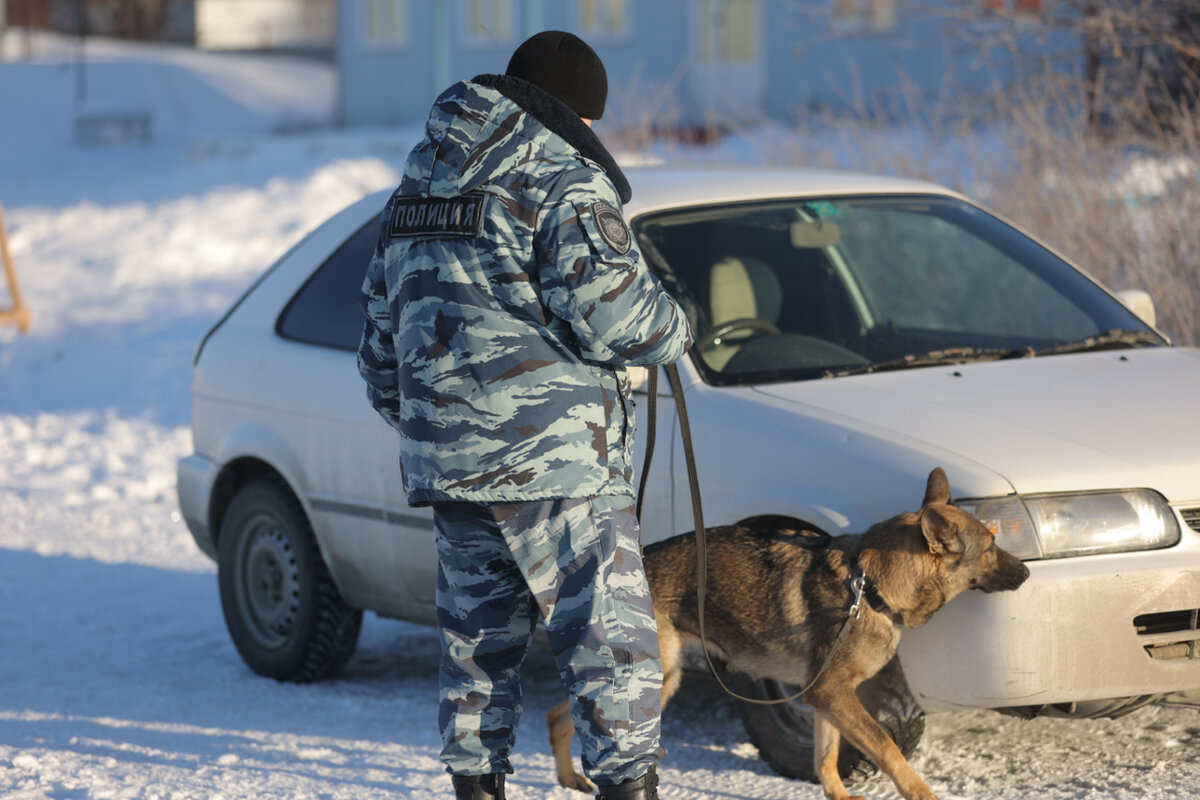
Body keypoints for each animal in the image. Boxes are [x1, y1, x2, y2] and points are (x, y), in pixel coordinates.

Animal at [549, 470, 1027, 800]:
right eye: (990, 547)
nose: (1025, 572)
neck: (871, 588)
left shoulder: (826, 699)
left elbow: (827, 758)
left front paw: (837, 795)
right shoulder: (835, 695)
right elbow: (887, 747)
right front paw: (922, 793)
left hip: (657, 679)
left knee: (559, 715)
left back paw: (569, 778)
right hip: (654, 681)